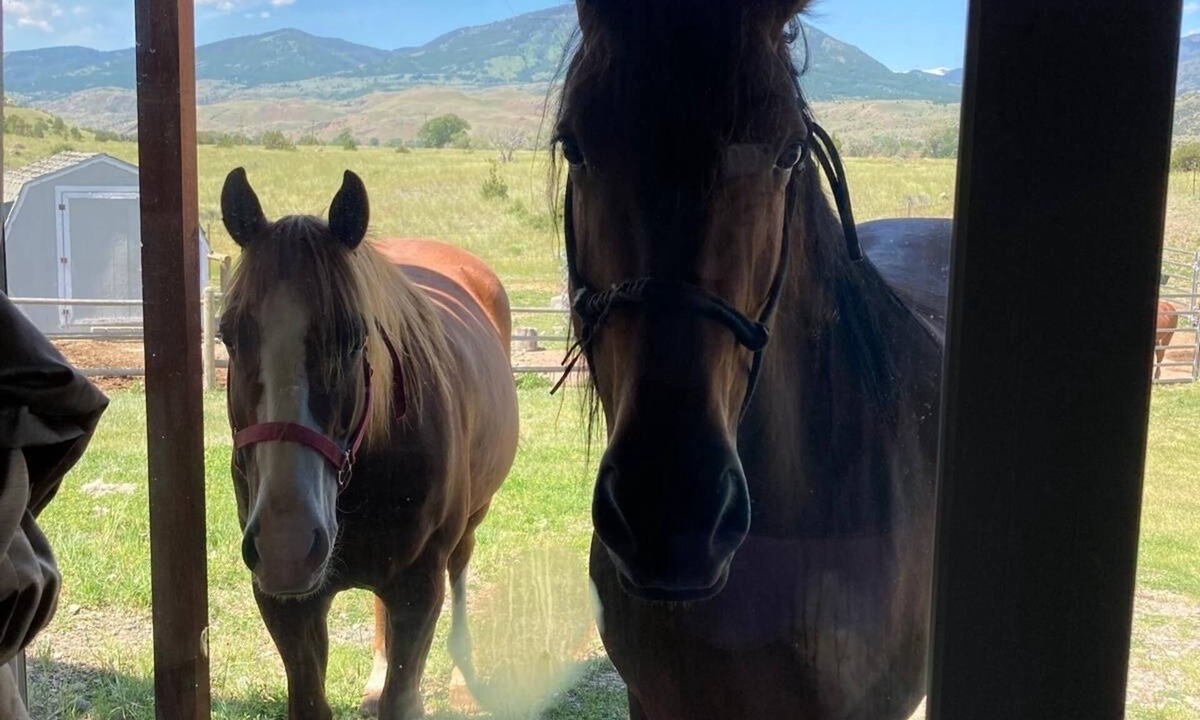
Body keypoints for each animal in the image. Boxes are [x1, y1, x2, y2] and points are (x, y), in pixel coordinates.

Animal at [218, 167, 519, 719]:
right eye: (228, 334)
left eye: (354, 339)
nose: (286, 543)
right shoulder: (287, 603)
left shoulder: (419, 587)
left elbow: (402, 695)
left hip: (472, 520)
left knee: (462, 570)